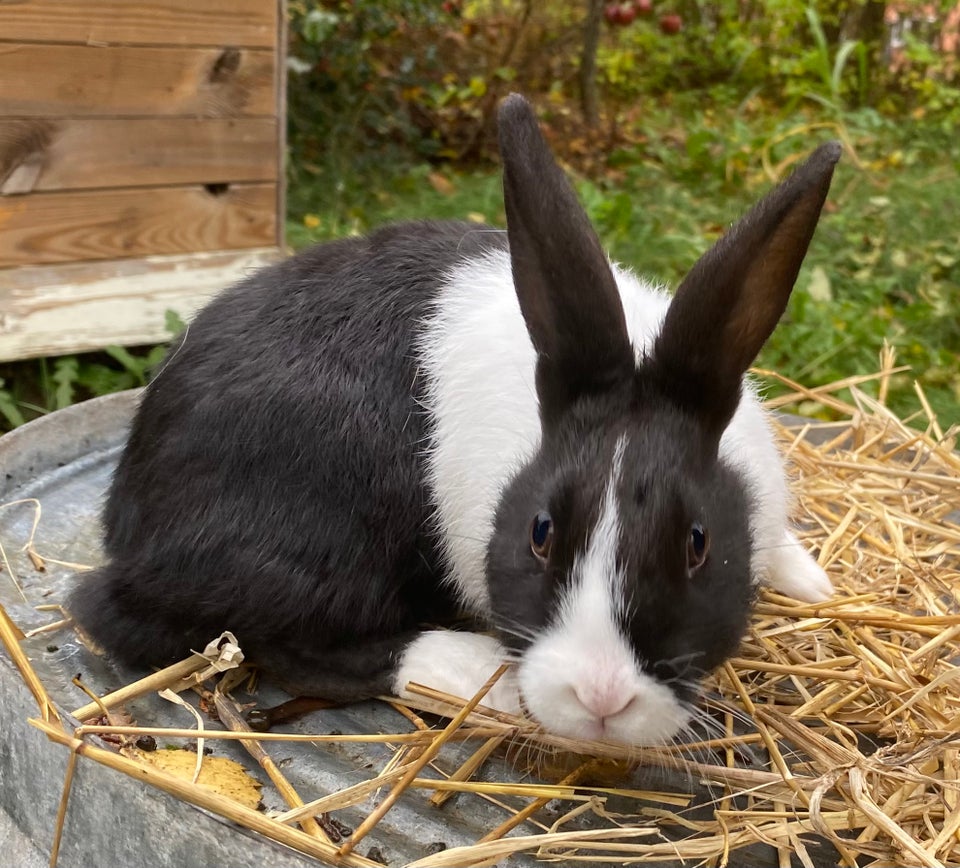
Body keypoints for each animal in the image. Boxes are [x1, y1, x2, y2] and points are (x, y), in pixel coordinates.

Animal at [67, 95, 836, 744]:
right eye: (540, 532)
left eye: (698, 543)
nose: (601, 697)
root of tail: (130, 520)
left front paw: (812, 582)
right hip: (312, 541)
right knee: (262, 637)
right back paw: (476, 675)